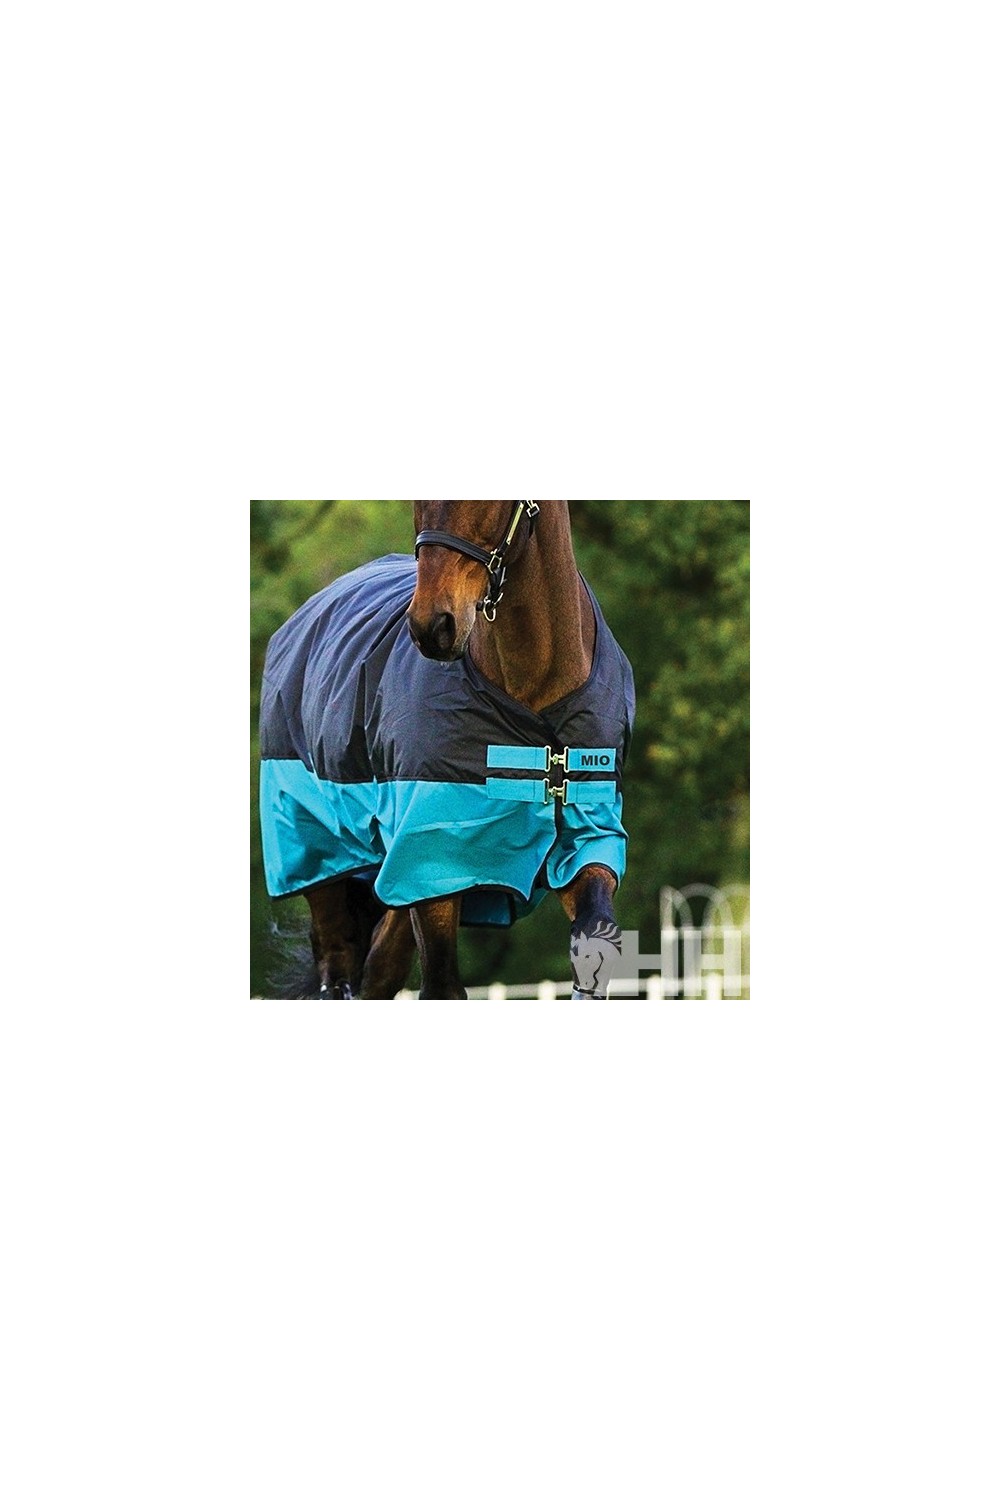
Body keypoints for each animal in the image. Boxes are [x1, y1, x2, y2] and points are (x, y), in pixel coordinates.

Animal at [259, 500, 635, 998]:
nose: (433, 625)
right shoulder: (433, 859)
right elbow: (442, 985)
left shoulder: (589, 839)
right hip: (322, 852)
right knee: (338, 963)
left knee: (380, 968)